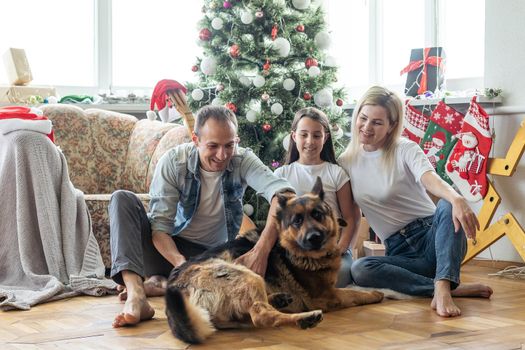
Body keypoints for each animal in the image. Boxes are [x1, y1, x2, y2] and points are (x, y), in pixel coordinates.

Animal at [166, 179, 382, 344]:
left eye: (317, 214)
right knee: (261, 316)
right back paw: (304, 318)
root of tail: (176, 287)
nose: (313, 238)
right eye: (297, 221)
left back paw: (279, 300)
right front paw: (375, 293)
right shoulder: (327, 296)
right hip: (246, 275)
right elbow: (354, 293)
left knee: (254, 311)